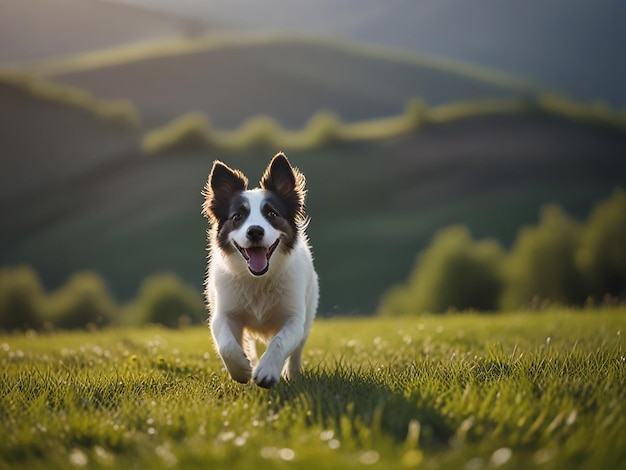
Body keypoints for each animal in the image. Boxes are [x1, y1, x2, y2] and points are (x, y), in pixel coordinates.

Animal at [201, 154, 316, 390]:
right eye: (237, 216)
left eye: (272, 213)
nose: (255, 231)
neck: (258, 279)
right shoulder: (223, 314)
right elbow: (226, 344)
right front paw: (242, 369)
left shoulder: (294, 318)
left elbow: (280, 341)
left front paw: (267, 371)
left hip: (309, 311)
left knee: (297, 349)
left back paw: (292, 374)